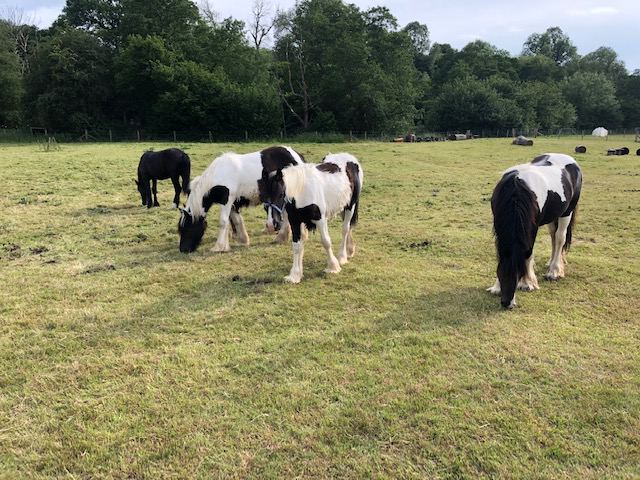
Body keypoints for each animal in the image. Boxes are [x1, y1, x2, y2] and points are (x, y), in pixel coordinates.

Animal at [262, 153, 363, 283]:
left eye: (280, 194)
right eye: (263, 196)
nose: (271, 225)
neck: (301, 191)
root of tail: (349, 157)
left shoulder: (320, 220)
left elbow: (326, 242)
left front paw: (333, 267)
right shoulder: (295, 221)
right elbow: (297, 246)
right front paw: (295, 275)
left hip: (350, 206)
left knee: (345, 229)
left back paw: (341, 257)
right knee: (349, 228)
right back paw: (349, 251)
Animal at [488, 153, 582, 309]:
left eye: (519, 273)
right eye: (499, 273)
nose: (507, 303)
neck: (516, 190)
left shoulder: (533, 226)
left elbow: (528, 252)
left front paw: (528, 283)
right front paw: (496, 287)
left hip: (567, 212)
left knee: (560, 238)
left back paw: (554, 271)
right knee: (553, 236)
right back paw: (551, 263)